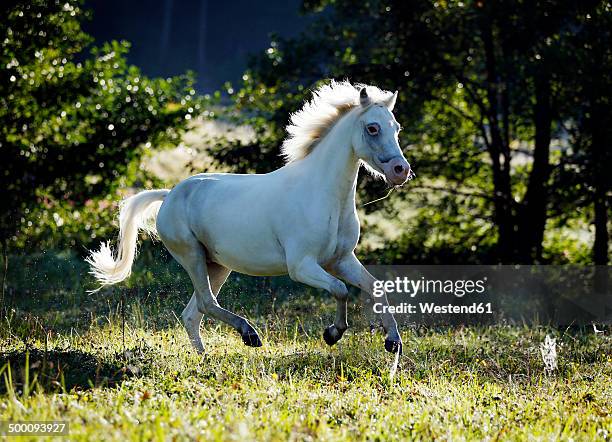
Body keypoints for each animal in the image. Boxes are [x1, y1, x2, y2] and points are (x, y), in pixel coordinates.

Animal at [87, 81, 412, 354]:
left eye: (396, 127)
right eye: (372, 128)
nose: (401, 170)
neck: (323, 195)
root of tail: (169, 195)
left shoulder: (341, 260)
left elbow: (375, 287)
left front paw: (392, 341)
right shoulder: (302, 266)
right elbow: (341, 290)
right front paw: (332, 333)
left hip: (216, 265)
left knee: (192, 314)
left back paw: (205, 359)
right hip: (192, 256)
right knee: (206, 303)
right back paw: (249, 334)